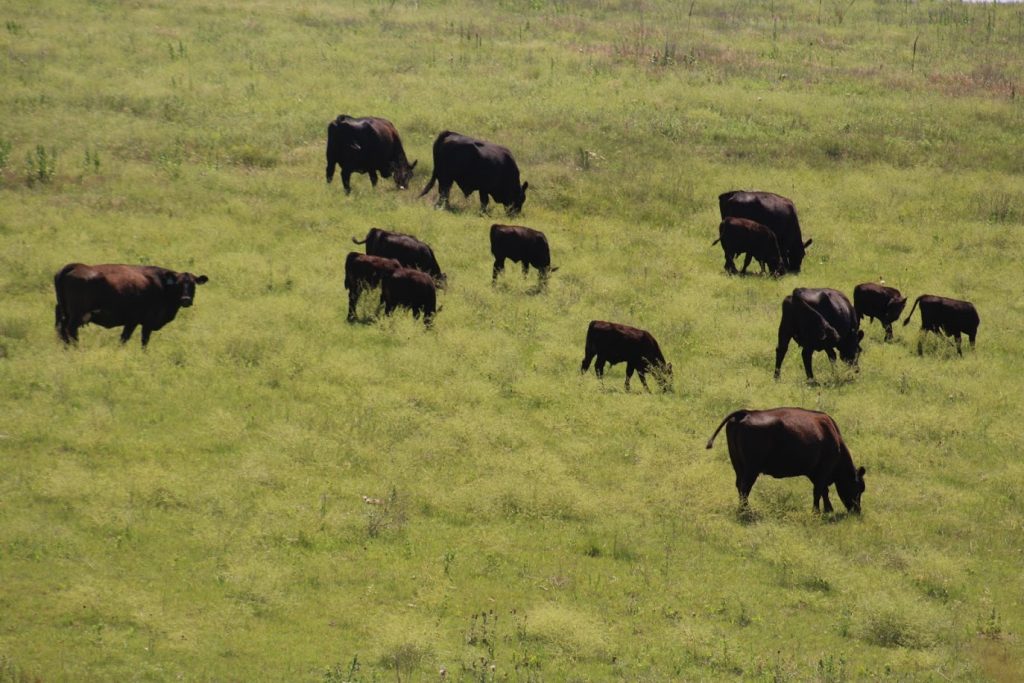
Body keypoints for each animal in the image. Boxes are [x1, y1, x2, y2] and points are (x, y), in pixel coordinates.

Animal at [54, 263, 208, 347]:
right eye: (178, 284)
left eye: (193, 284)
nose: (186, 299)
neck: (163, 285)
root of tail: (76, 265)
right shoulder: (145, 322)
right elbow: (142, 341)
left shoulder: (132, 321)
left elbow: (124, 339)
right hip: (77, 316)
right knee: (70, 331)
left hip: (63, 312)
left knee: (61, 330)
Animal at [705, 407, 866, 514]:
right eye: (859, 488)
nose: (857, 511)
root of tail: (746, 412)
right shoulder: (824, 469)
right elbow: (819, 490)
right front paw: (819, 511)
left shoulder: (816, 472)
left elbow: (823, 491)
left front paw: (827, 510)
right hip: (752, 468)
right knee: (745, 487)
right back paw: (746, 511)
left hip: (738, 465)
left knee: (739, 485)